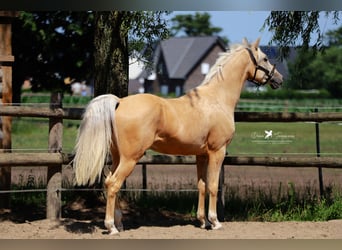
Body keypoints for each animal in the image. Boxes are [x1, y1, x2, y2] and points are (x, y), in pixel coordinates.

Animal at [73, 37, 284, 234]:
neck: (217, 99)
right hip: (130, 158)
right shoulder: (217, 152)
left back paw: (119, 224)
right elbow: (213, 185)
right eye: (265, 58)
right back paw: (112, 227)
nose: (279, 79)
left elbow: (201, 185)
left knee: (110, 182)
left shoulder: (201, 155)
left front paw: (203, 221)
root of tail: (119, 102)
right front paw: (215, 222)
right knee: (113, 184)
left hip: (118, 157)